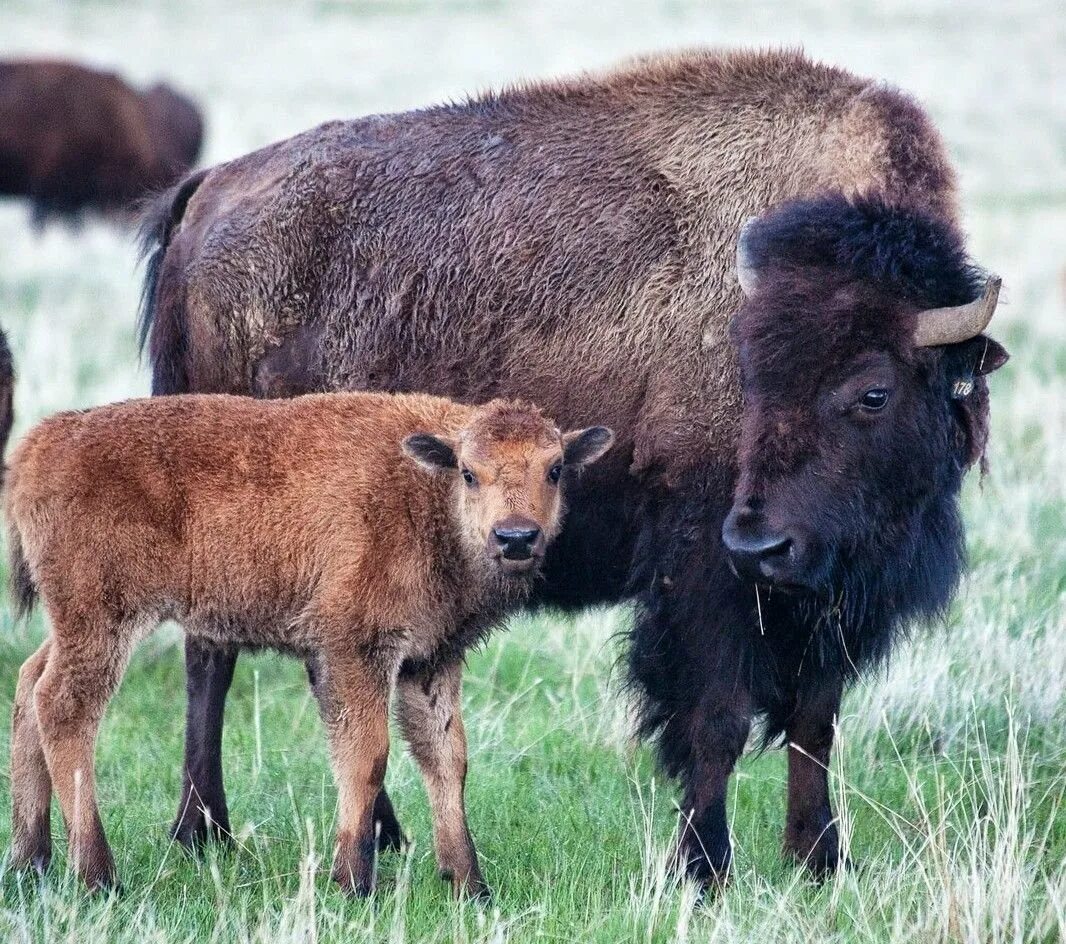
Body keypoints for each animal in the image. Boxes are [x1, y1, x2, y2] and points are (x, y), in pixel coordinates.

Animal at [6, 394, 609, 903]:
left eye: (555, 468)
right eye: (469, 472)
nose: (516, 538)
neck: (425, 494)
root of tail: (40, 443)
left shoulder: (430, 660)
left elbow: (447, 759)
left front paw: (469, 885)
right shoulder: (354, 650)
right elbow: (367, 757)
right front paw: (354, 883)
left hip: (72, 623)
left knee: (29, 685)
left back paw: (30, 860)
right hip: (102, 620)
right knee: (63, 707)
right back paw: (98, 877)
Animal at [137, 47, 1002, 890]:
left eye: (873, 391)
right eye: (748, 374)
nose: (764, 546)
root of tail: (208, 192)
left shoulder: (833, 599)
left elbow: (814, 724)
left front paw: (821, 860)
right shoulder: (707, 578)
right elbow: (715, 720)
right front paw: (705, 867)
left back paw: (378, 835)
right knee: (210, 658)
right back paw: (203, 833)